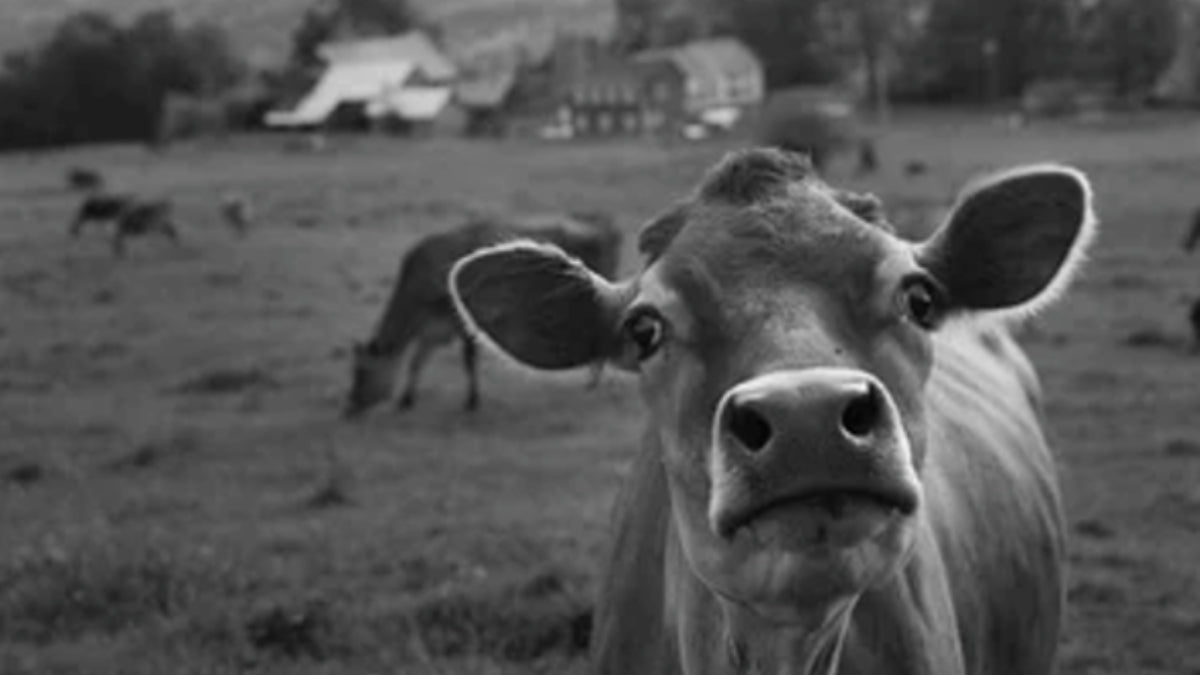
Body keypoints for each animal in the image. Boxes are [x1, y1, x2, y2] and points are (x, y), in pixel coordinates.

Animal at [338, 210, 619, 417]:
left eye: (361, 372)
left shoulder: (458, 320)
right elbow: (418, 359)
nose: (350, 406)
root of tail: (600, 223)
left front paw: (472, 401)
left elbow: (468, 359)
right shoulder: (435, 326)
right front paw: (407, 399)